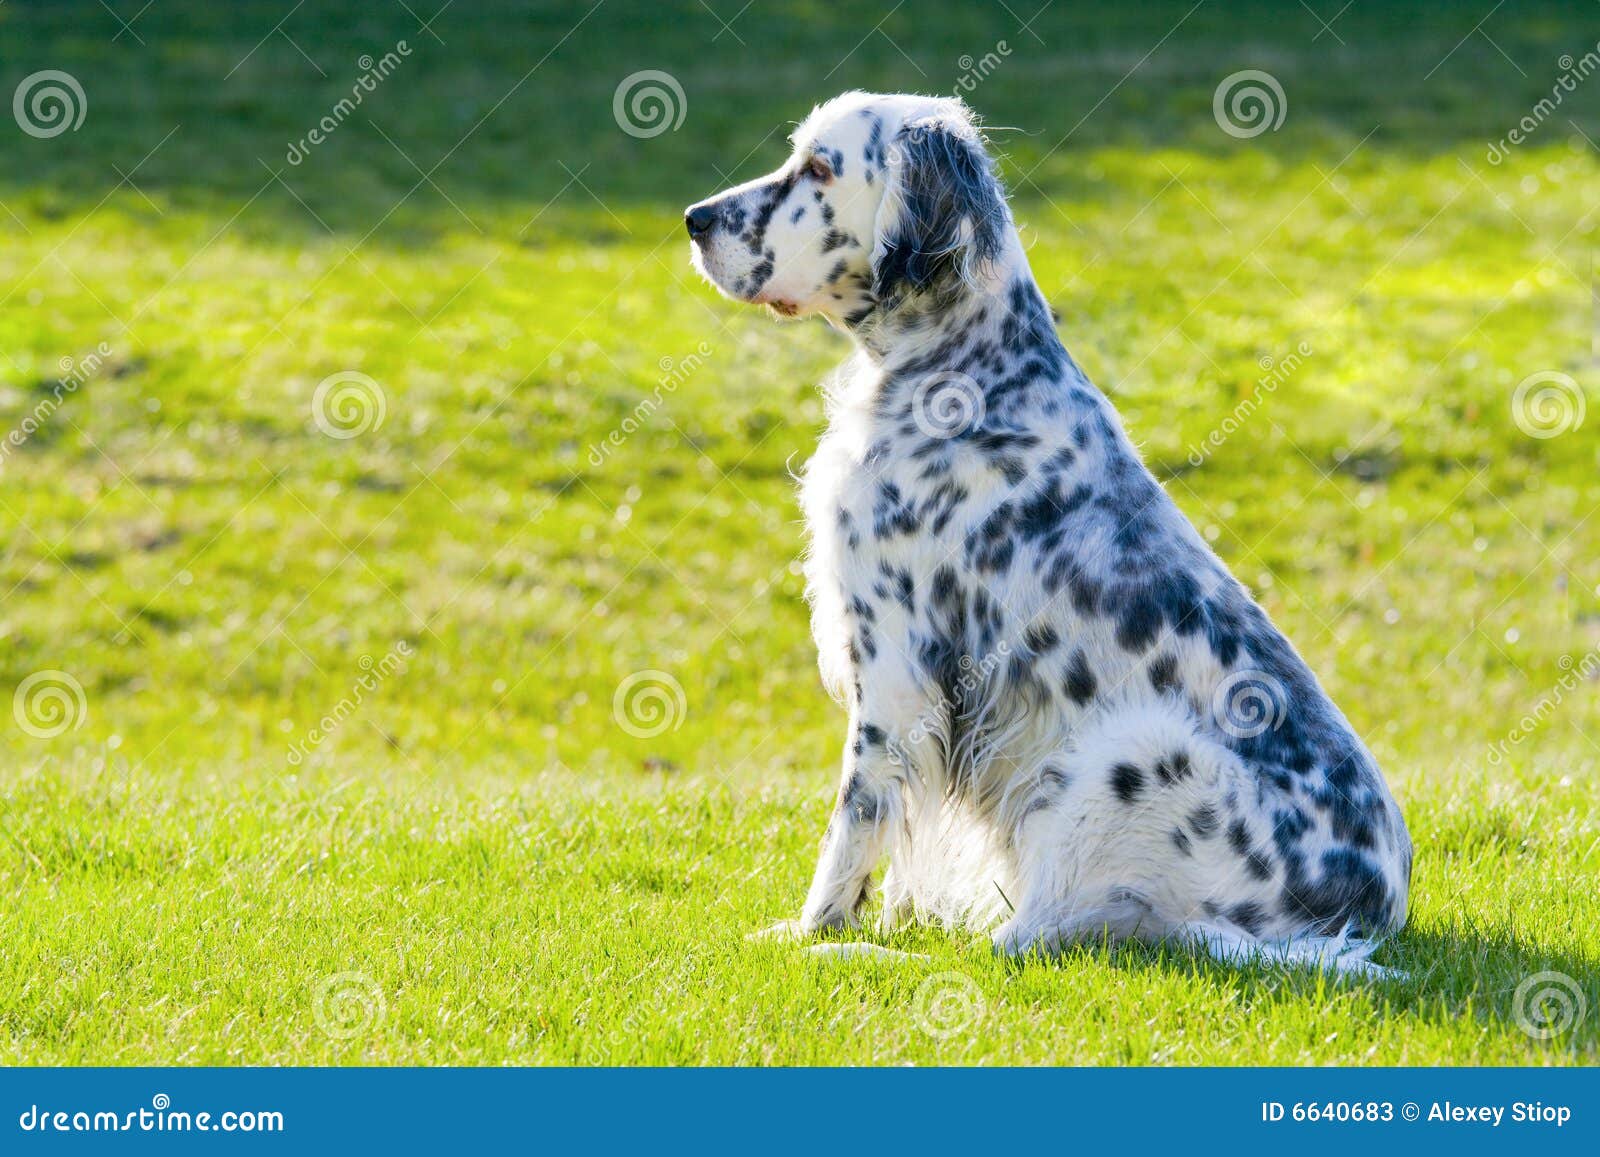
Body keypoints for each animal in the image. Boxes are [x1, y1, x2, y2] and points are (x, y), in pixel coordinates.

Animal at [688, 92, 1414, 979]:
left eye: (820, 167)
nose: (693, 219)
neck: (966, 369)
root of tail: (1361, 916)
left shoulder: (895, 670)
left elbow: (855, 824)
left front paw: (812, 930)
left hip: (1131, 752)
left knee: (1015, 944)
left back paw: (856, 954)